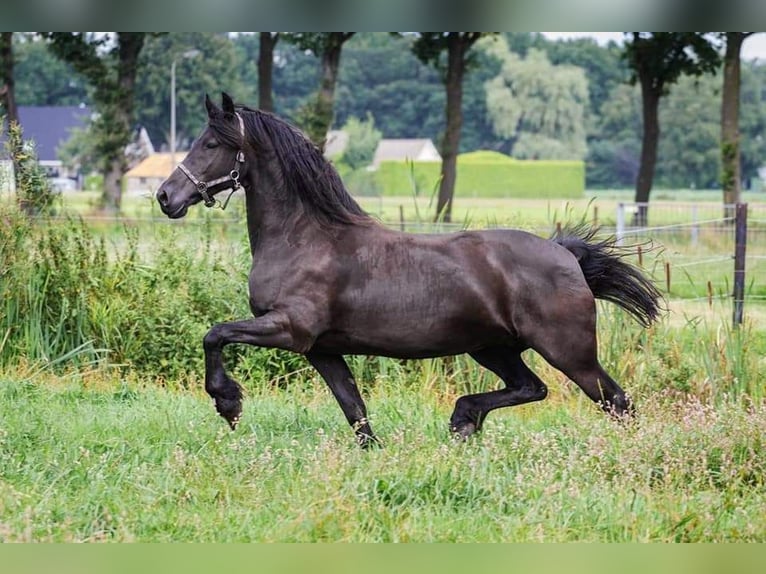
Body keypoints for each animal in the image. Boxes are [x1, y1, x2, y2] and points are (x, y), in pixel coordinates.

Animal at [158, 92, 664, 448]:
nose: (166, 197)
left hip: (568, 352)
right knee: (532, 387)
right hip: (492, 348)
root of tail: (566, 256)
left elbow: (215, 334)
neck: (305, 238)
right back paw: (464, 419)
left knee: (616, 402)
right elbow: (355, 411)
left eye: (211, 143)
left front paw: (228, 403)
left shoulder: (290, 329)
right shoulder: (322, 349)